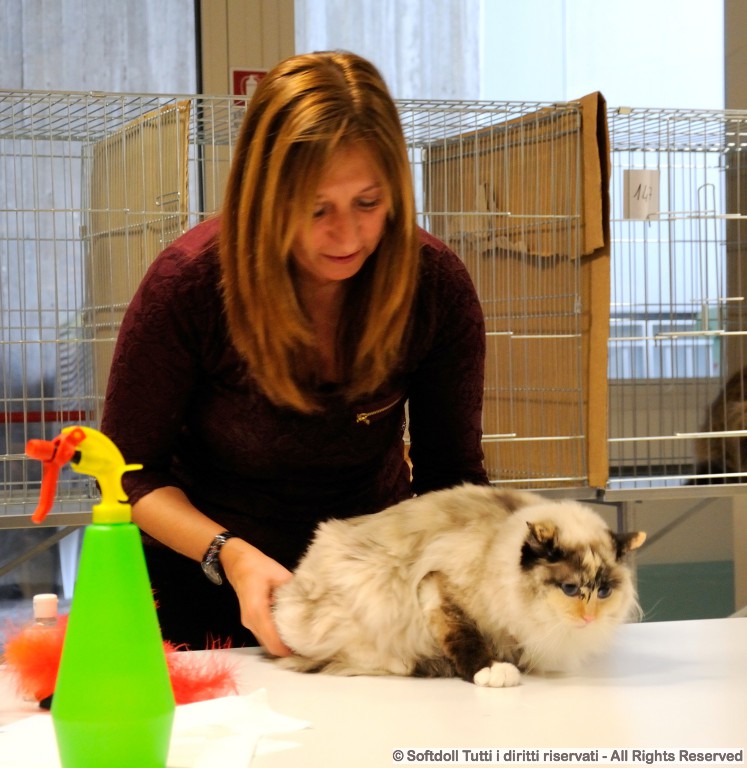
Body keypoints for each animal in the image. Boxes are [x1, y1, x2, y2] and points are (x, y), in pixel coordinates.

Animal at [272, 484, 646, 688]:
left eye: (604, 592)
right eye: (569, 589)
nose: (589, 619)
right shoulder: (438, 585)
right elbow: (465, 639)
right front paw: (493, 671)